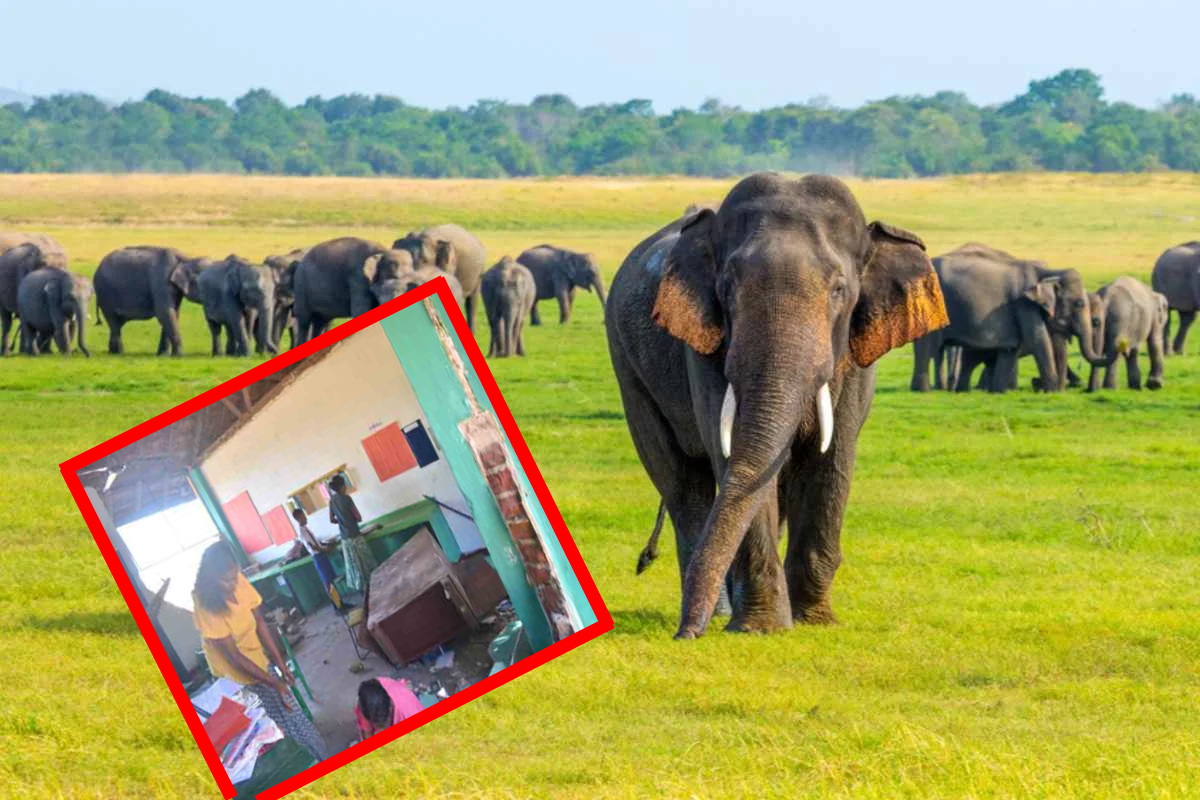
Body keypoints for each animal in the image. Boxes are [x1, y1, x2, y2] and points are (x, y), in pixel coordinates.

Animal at [606, 172, 948, 639]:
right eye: (727, 288)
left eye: (839, 290)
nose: (683, 636)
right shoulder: (705, 347)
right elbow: (733, 456)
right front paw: (762, 629)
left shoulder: (854, 357)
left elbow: (833, 458)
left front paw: (814, 622)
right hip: (629, 370)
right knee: (682, 484)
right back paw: (718, 614)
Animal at [910, 243, 1105, 393]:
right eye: (1079, 303)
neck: (1047, 271)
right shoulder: (1025, 305)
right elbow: (1038, 340)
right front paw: (1052, 392)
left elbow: (1011, 348)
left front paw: (1000, 392)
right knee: (928, 348)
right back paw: (923, 391)